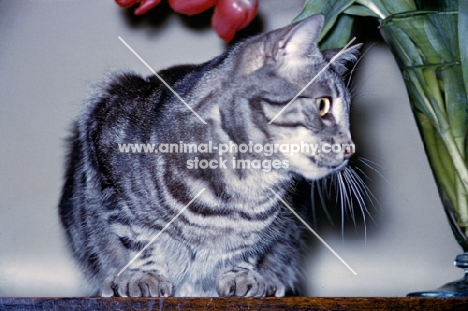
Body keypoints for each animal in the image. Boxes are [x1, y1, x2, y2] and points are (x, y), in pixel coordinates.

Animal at [58, 14, 358, 298]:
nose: (350, 149)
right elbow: (139, 239)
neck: (243, 187)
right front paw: (145, 277)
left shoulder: (266, 229)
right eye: (323, 106)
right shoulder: (108, 159)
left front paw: (241, 275)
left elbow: (247, 247)